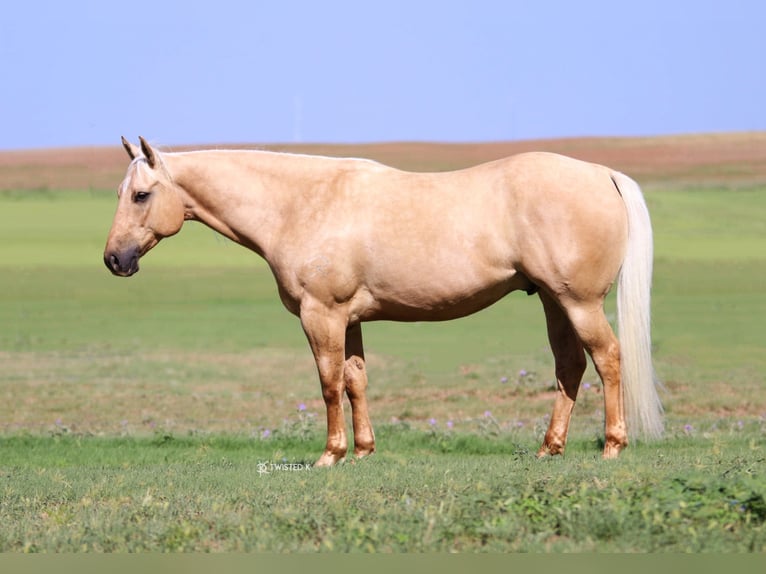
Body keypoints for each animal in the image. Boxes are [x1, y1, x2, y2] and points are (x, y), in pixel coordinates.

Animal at [105, 138, 664, 468]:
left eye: (140, 195)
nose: (114, 259)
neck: (300, 204)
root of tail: (601, 173)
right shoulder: (348, 318)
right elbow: (355, 381)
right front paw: (364, 451)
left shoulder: (321, 314)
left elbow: (329, 384)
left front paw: (330, 455)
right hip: (553, 301)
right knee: (570, 366)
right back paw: (550, 448)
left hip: (579, 302)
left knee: (607, 358)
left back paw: (613, 446)